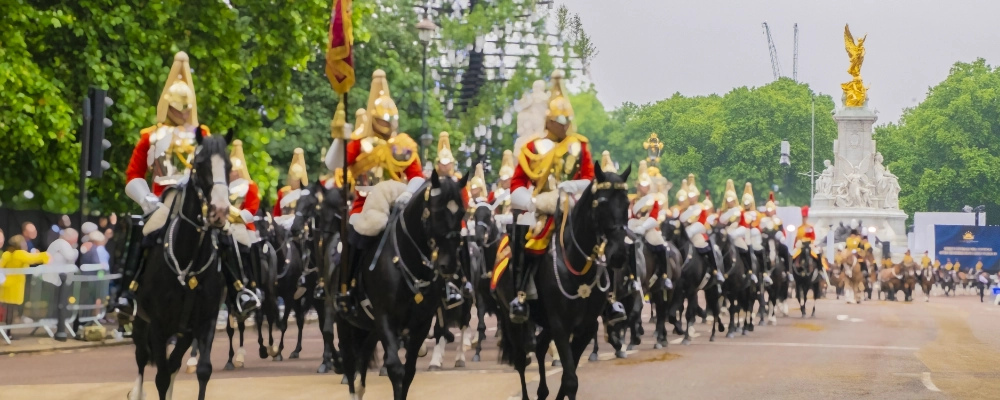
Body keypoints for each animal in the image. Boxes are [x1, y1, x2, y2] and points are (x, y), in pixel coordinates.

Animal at [127, 130, 230, 400]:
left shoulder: (205, 323)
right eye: (200, 165)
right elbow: (161, 377)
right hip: (141, 323)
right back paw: (136, 392)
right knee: (142, 359)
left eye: (228, 165)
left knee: (173, 363)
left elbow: (203, 370)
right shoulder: (158, 326)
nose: (220, 211)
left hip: (184, 333)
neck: (189, 262)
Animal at [338, 170, 470, 398]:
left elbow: (408, 372)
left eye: (461, 212)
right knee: (350, 363)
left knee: (362, 358)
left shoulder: (421, 324)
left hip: (369, 327)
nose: (450, 264)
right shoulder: (385, 318)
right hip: (345, 322)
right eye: (437, 213)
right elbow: (395, 368)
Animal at [496, 162, 628, 400]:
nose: (619, 255)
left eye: (627, 203)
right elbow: (570, 379)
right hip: (511, 317)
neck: (577, 266)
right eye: (602, 203)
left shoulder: (585, 327)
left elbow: (568, 378)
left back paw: (542, 391)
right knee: (521, 360)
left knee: (539, 348)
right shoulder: (560, 325)